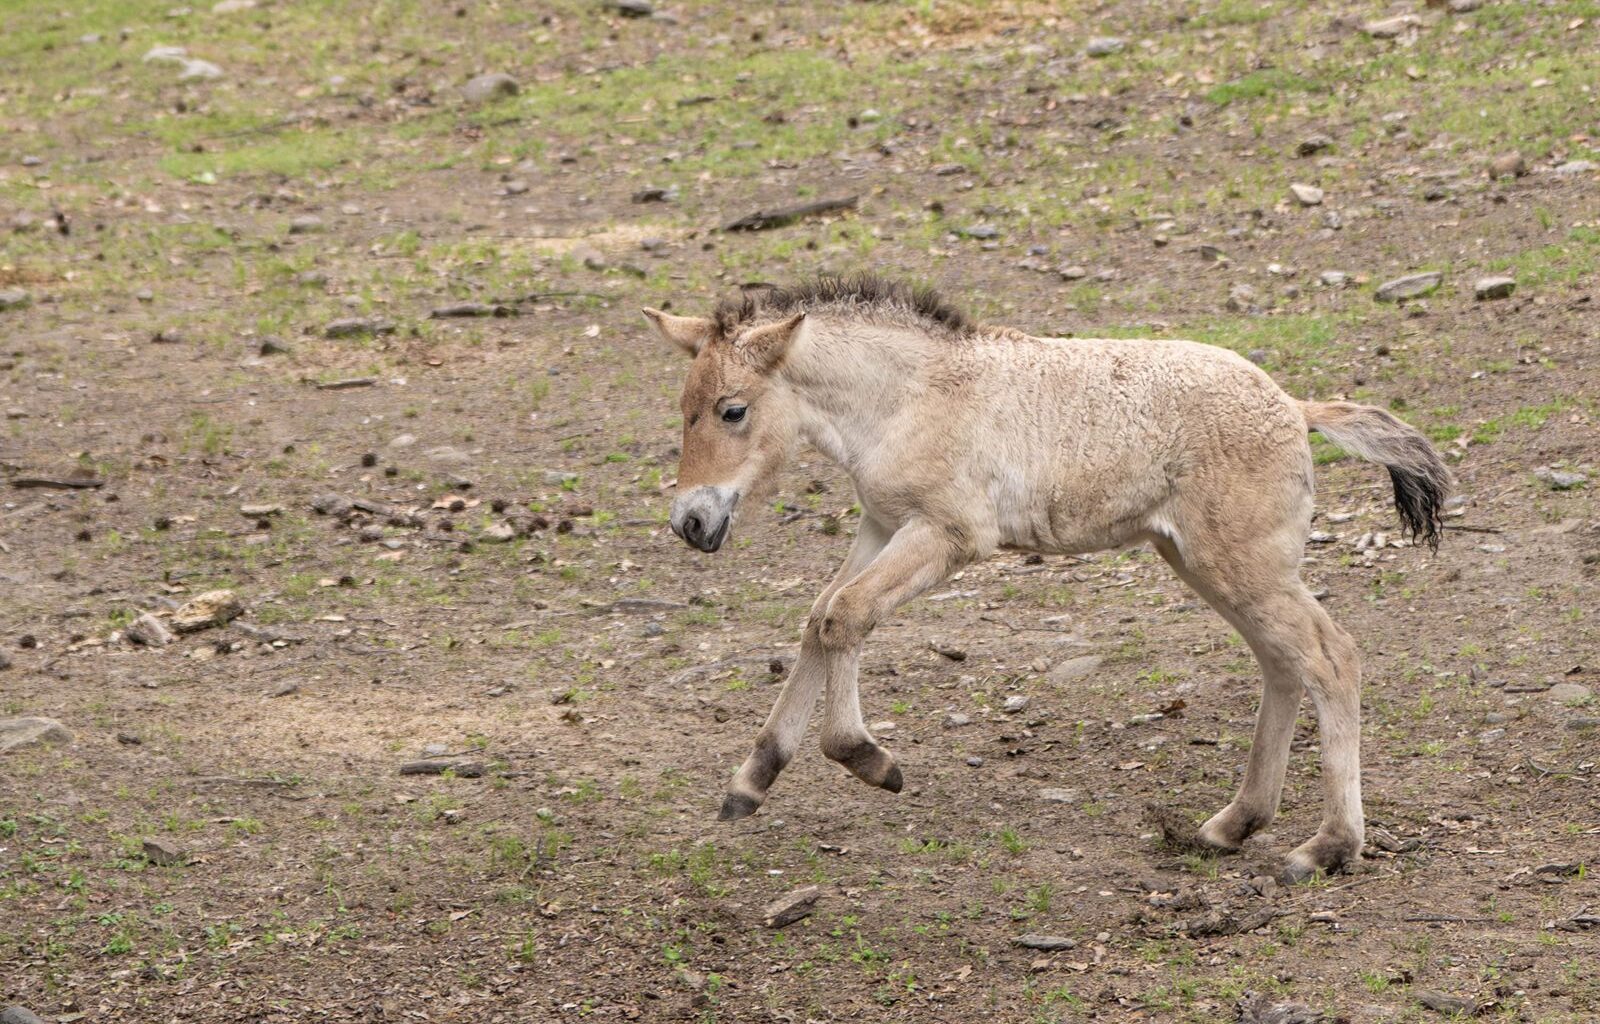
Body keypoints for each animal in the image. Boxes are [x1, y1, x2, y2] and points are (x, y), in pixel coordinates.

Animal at [643, 275, 1449, 882]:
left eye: (733, 410)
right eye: (681, 410)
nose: (691, 522)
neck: (910, 395)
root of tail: (1294, 406)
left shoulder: (947, 535)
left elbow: (846, 615)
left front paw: (870, 760)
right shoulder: (880, 524)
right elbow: (822, 616)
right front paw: (750, 782)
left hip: (1239, 564)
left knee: (1330, 657)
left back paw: (1328, 847)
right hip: (1203, 562)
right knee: (1283, 665)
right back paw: (1231, 824)